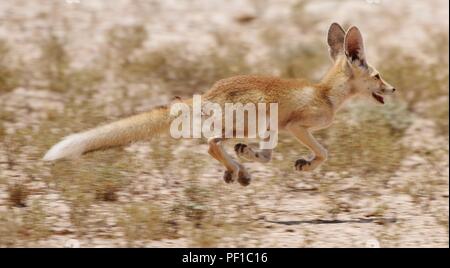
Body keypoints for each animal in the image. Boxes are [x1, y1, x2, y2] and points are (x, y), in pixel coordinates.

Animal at [42, 23, 394, 186]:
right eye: (378, 75)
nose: (392, 88)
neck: (324, 92)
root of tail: (209, 92)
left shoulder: (276, 131)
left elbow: (267, 156)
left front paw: (253, 157)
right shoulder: (296, 126)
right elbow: (323, 153)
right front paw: (306, 164)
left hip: (247, 125)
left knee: (216, 144)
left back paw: (238, 169)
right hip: (249, 120)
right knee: (211, 143)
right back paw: (236, 169)